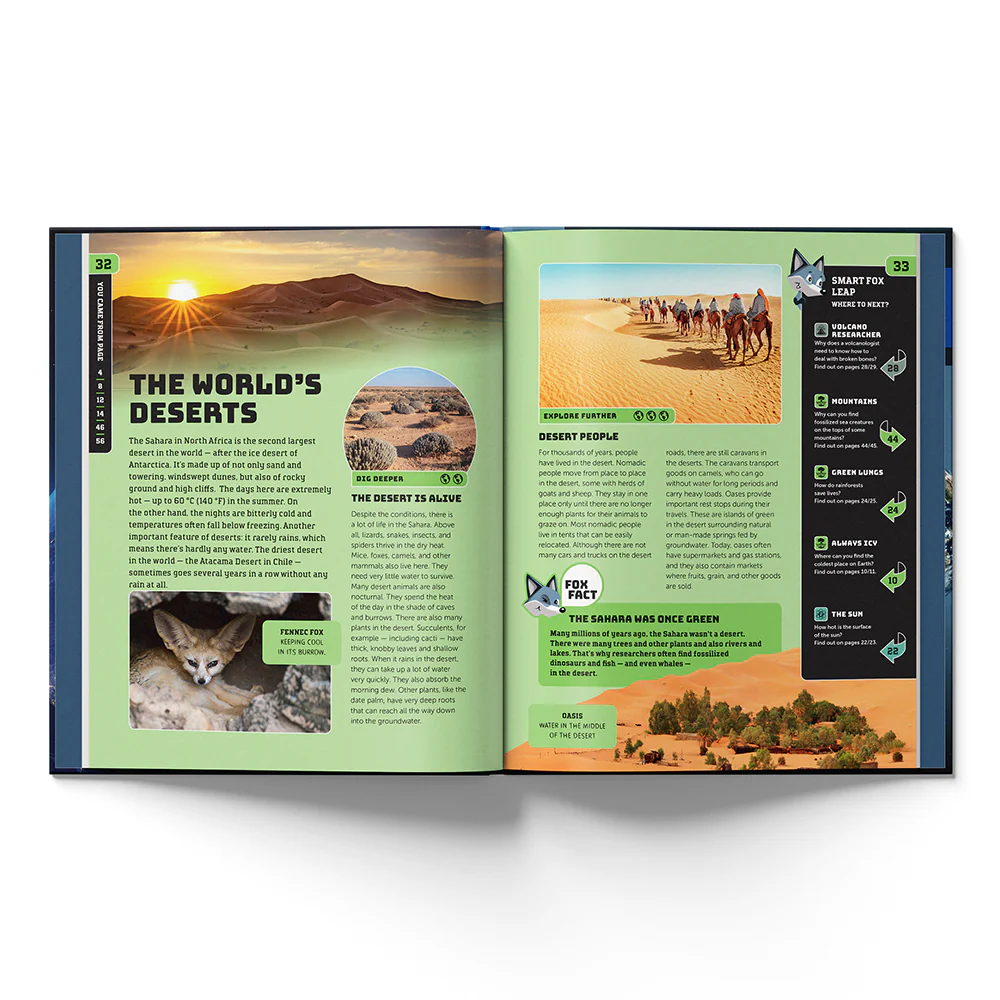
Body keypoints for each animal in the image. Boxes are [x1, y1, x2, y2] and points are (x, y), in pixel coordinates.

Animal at [129, 609, 259, 716]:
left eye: (213, 663)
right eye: (191, 662)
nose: (201, 681)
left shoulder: (219, 682)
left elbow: (237, 690)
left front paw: (255, 692)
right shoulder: (214, 688)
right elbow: (238, 698)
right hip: (201, 693)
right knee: (225, 709)